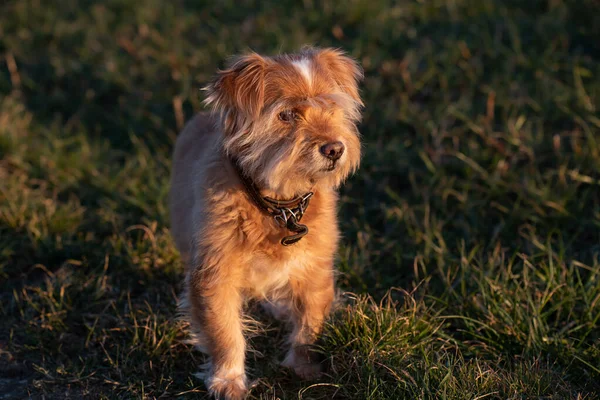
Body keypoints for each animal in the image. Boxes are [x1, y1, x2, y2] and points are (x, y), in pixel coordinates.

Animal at [171, 47, 364, 400]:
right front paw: (228, 380)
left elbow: (309, 326)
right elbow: (224, 332)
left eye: (331, 108)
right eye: (286, 115)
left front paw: (303, 368)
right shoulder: (213, 275)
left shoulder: (315, 270)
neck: (278, 205)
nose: (335, 148)